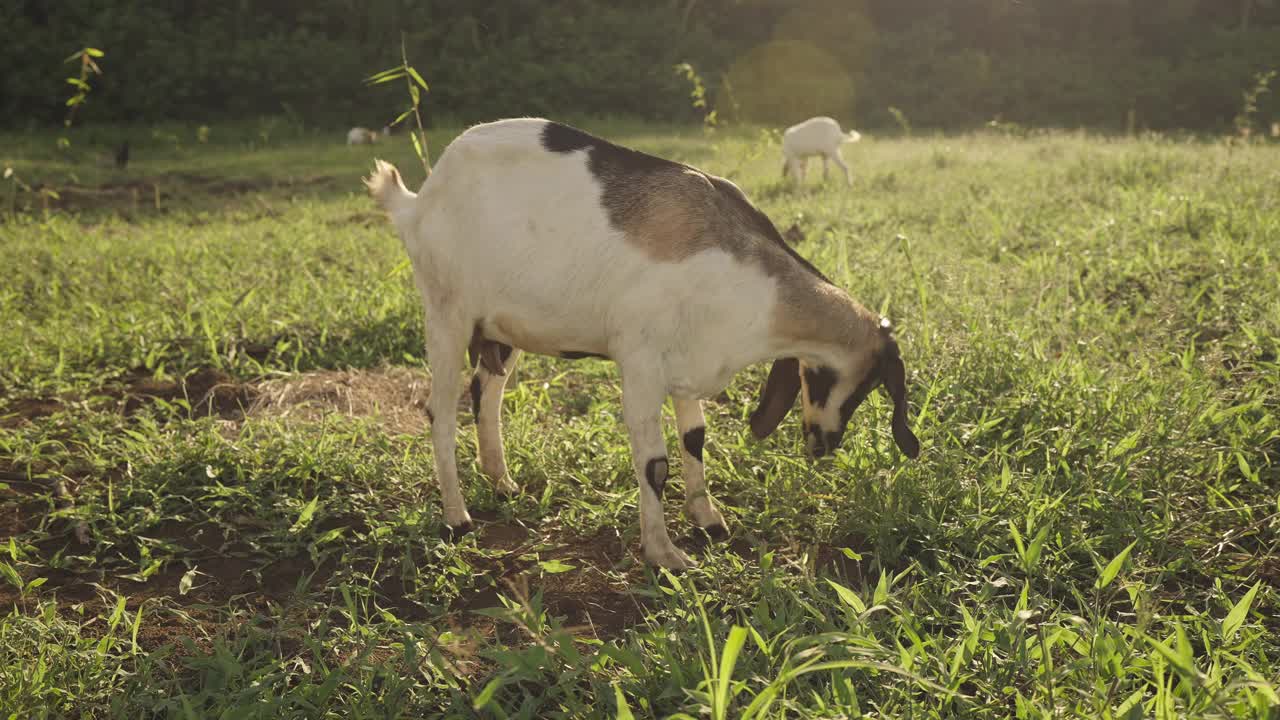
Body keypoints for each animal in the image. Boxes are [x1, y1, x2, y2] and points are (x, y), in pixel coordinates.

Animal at [368, 119, 921, 566]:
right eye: (861, 383)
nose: (824, 444)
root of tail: (419, 201)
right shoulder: (639, 362)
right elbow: (655, 464)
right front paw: (664, 554)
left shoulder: (689, 364)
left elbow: (695, 439)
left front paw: (709, 520)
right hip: (447, 313)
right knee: (441, 412)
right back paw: (456, 517)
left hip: (501, 327)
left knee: (487, 394)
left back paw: (501, 483)